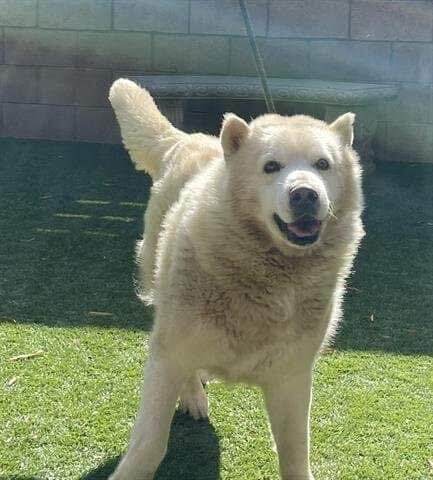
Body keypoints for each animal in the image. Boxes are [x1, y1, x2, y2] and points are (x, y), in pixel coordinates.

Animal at [106, 79, 362, 480]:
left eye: (323, 164)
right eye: (271, 166)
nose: (305, 194)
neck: (264, 274)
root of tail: (188, 138)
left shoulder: (291, 377)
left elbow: (295, 453)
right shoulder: (168, 355)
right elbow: (150, 443)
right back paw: (193, 396)